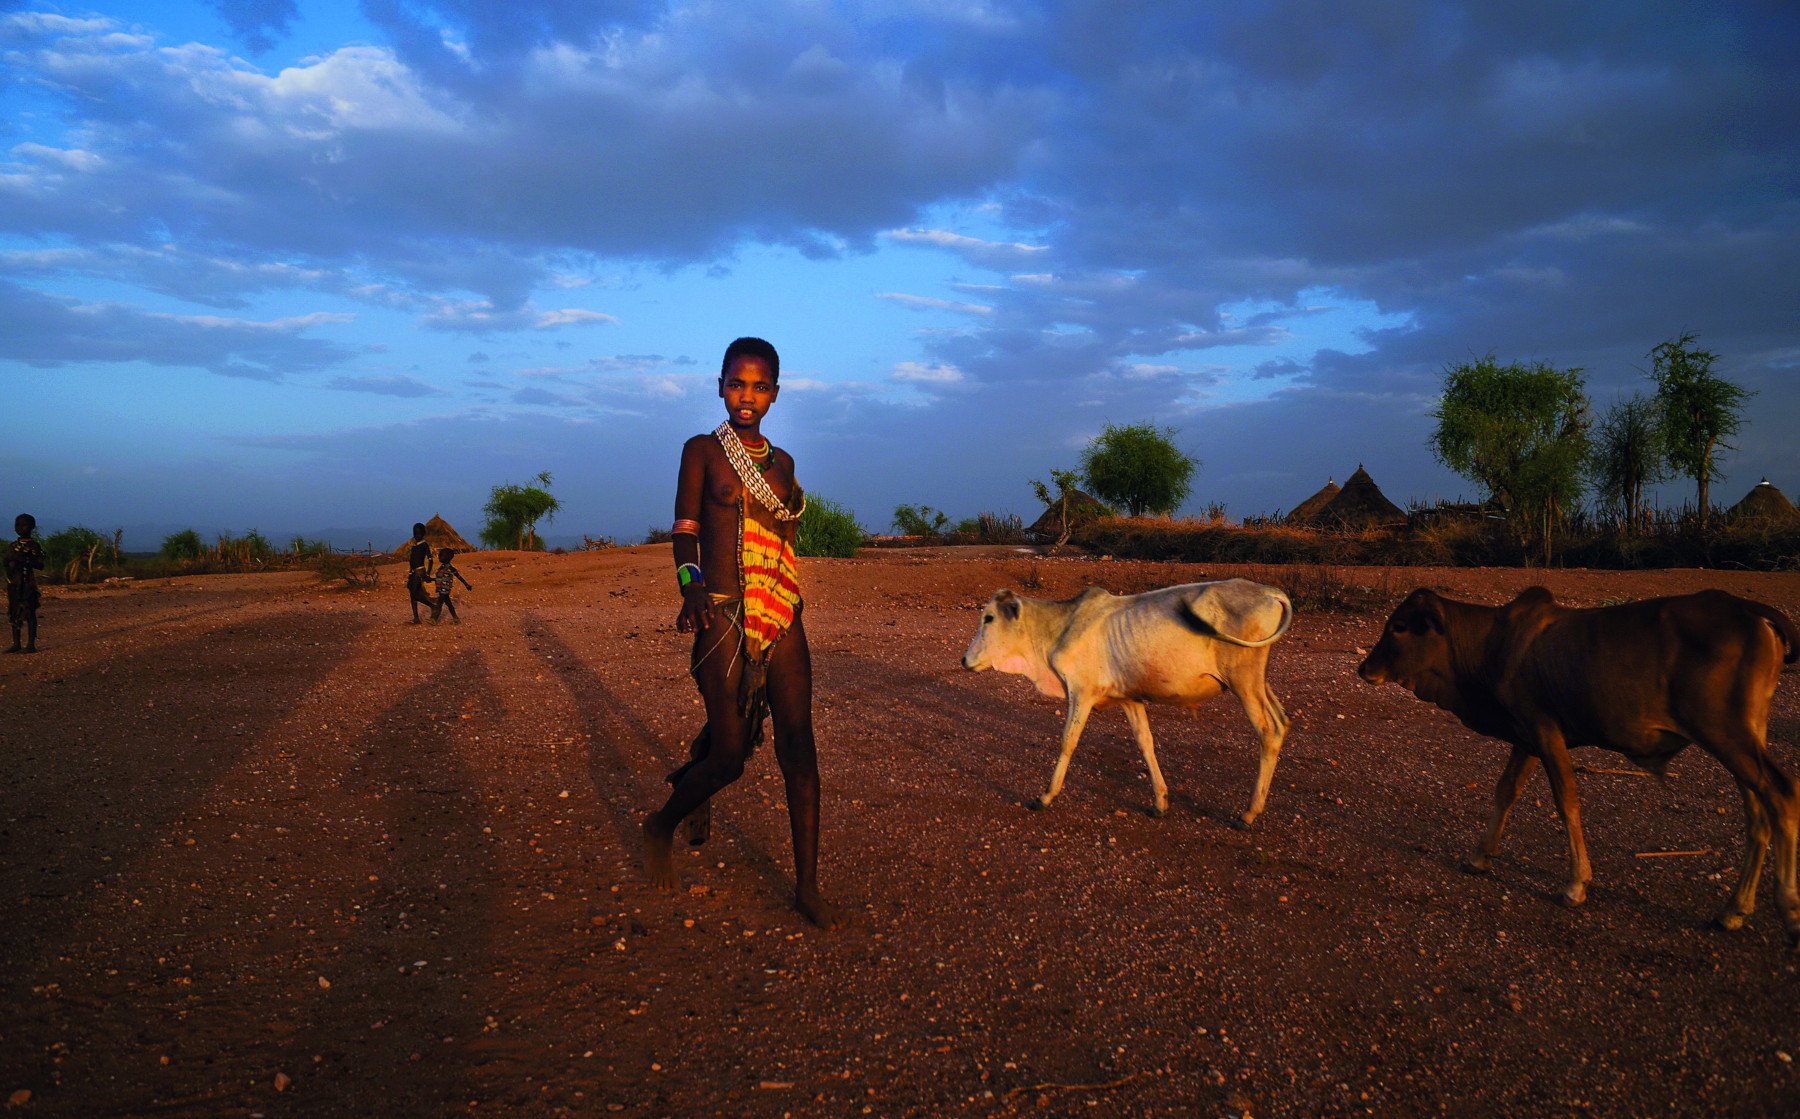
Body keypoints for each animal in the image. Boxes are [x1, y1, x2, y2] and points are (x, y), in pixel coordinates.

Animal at [957, 582, 1296, 827]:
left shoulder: (1081, 693)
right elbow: (1145, 743)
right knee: (1281, 723)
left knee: (1267, 732)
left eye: (989, 618)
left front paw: (1045, 796)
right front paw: (1160, 802)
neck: (1058, 627)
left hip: (1244, 680)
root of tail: (1271, 592)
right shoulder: (1129, 699)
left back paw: (1249, 813)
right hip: (1257, 682)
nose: (964, 660)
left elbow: (1068, 741)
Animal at [1353, 586, 1792, 949]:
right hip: (1742, 741)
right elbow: (1505, 789)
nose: (1363, 669)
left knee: (1783, 794)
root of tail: (1751, 610)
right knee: (1758, 815)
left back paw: (1788, 909)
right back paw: (1733, 910)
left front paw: (1576, 884)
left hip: (1726, 735)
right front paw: (1479, 856)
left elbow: (1566, 800)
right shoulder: (1527, 737)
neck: (1491, 644)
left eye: (1399, 626)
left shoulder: (1545, 730)